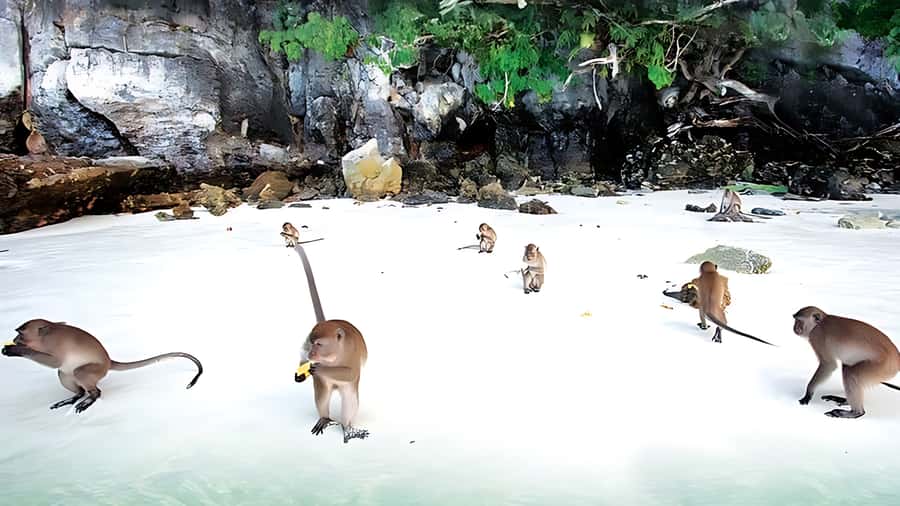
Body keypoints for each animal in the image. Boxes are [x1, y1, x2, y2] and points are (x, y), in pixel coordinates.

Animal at [1, 319, 202, 413]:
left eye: (21, 333)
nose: (14, 339)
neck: (46, 336)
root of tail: (109, 361)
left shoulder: (54, 346)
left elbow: (54, 361)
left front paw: (13, 350)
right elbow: (57, 366)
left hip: (94, 369)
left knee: (81, 375)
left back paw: (90, 398)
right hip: (71, 376)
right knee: (66, 376)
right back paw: (75, 397)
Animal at [293, 244, 369, 443]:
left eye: (319, 344)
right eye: (311, 342)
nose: (311, 354)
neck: (333, 356)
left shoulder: (351, 352)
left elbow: (350, 373)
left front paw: (318, 368)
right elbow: (300, 353)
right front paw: (302, 369)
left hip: (347, 389)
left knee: (350, 400)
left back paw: (347, 427)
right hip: (323, 385)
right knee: (322, 396)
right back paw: (324, 418)